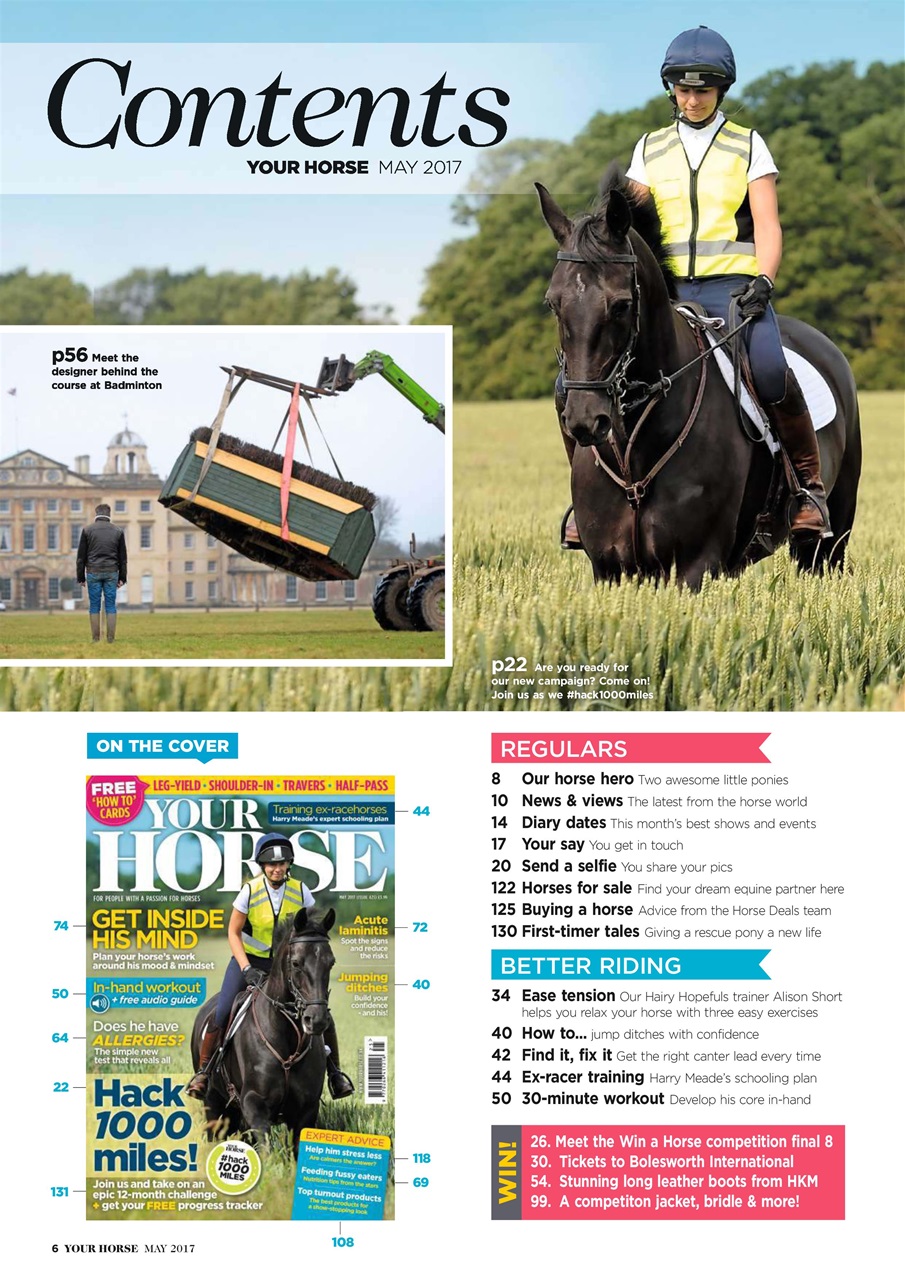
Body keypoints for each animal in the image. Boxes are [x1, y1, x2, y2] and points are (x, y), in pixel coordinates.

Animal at [537, 174, 862, 588]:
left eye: (621, 305)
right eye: (553, 303)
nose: (585, 420)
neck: (635, 455)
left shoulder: (697, 564)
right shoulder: (609, 569)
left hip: (832, 537)